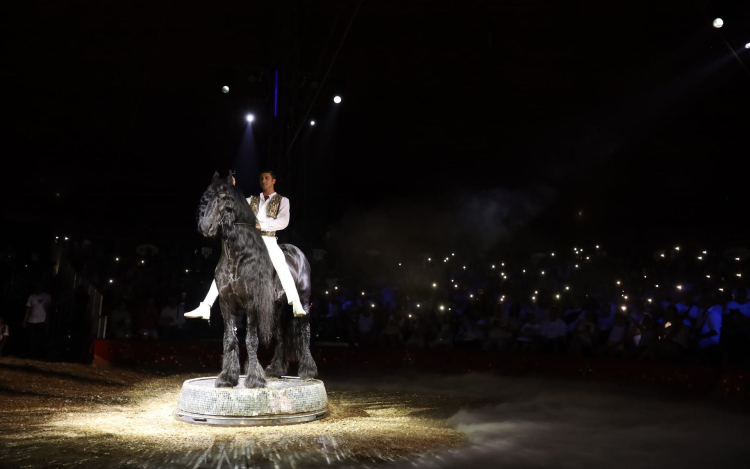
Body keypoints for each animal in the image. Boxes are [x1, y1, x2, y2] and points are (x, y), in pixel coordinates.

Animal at [197, 172, 318, 388]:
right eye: (206, 197)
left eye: (224, 197)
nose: (205, 227)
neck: (237, 256)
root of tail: (297, 252)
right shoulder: (227, 304)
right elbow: (230, 339)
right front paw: (227, 377)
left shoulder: (252, 303)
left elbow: (251, 340)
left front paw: (254, 379)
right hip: (276, 307)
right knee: (280, 335)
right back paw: (275, 369)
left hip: (303, 300)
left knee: (305, 329)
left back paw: (307, 370)